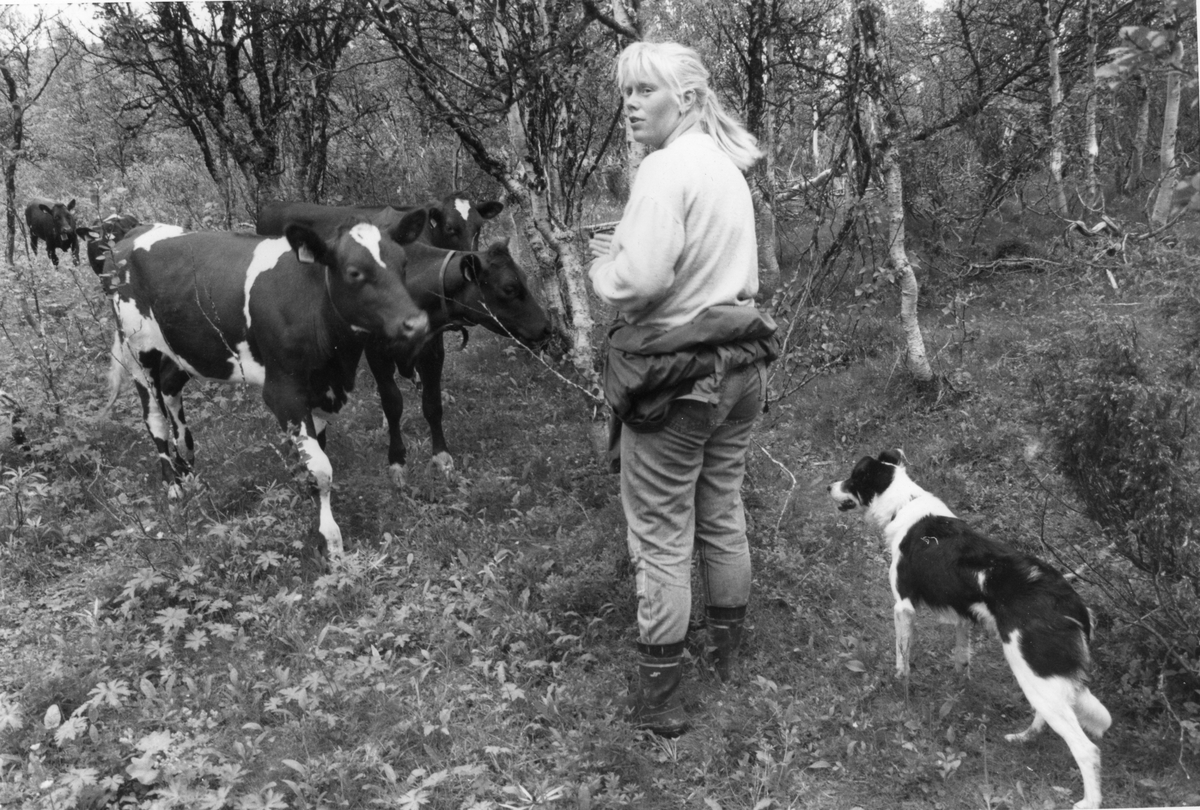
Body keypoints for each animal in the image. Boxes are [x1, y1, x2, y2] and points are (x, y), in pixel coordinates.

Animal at [110, 212, 432, 561]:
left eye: (403, 264)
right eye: (354, 272)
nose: (417, 323)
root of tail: (134, 231)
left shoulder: (319, 388)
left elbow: (316, 453)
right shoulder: (284, 392)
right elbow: (320, 468)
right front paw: (331, 543)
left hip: (185, 349)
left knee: (171, 388)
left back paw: (187, 462)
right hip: (138, 349)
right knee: (154, 416)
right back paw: (173, 486)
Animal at [256, 194, 552, 487]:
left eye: (479, 227)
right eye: (509, 288)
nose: (547, 327)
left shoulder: (433, 348)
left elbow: (432, 403)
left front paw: (442, 458)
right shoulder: (377, 353)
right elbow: (392, 404)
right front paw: (397, 461)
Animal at [830, 448, 1108, 810]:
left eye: (852, 478)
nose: (829, 487)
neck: (904, 504)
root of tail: (1071, 603)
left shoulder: (903, 606)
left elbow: (902, 658)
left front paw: (899, 685)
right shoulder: (962, 612)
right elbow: (962, 655)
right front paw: (960, 681)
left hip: (1033, 672)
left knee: (1087, 749)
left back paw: (1089, 800)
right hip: (1039, 678)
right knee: (1048, 716)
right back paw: (1024, 737)